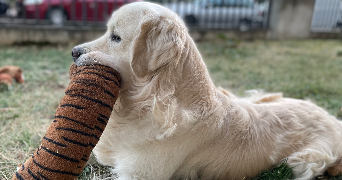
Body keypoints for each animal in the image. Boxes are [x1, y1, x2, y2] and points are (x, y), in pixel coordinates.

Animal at [72, 2, 342, 179]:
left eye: (116, 37)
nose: (74, 51)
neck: (152, 102)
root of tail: (332, 118)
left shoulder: (139, 174)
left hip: (303, 161)